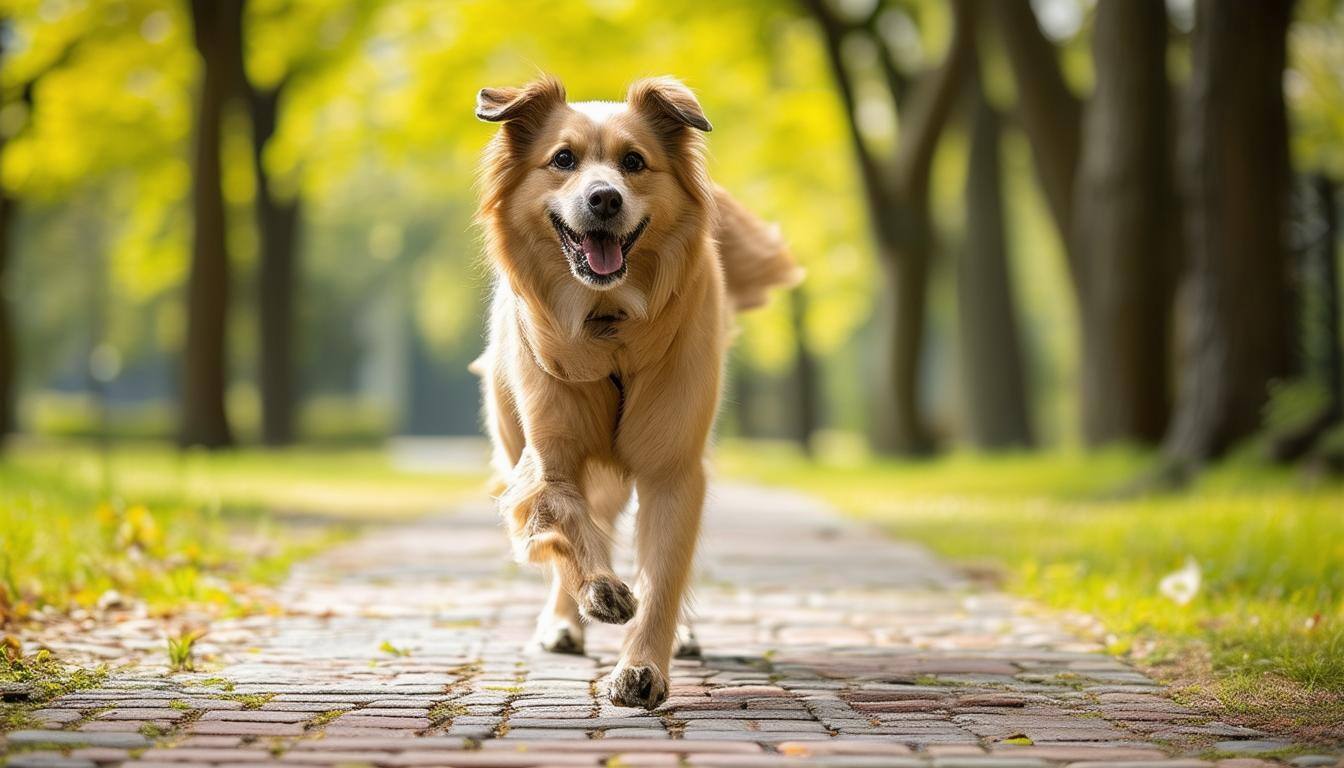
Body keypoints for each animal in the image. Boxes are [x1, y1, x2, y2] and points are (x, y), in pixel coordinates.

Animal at [473, 76, 795, 710]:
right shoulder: (549, 456)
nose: (604, 199)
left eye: (634, 162)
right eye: (563, 160)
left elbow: (665, 570)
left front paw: (643, 666)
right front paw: (599, 590)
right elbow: (566, 521)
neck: (610, 325)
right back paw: (563, 622)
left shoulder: (673, 465)